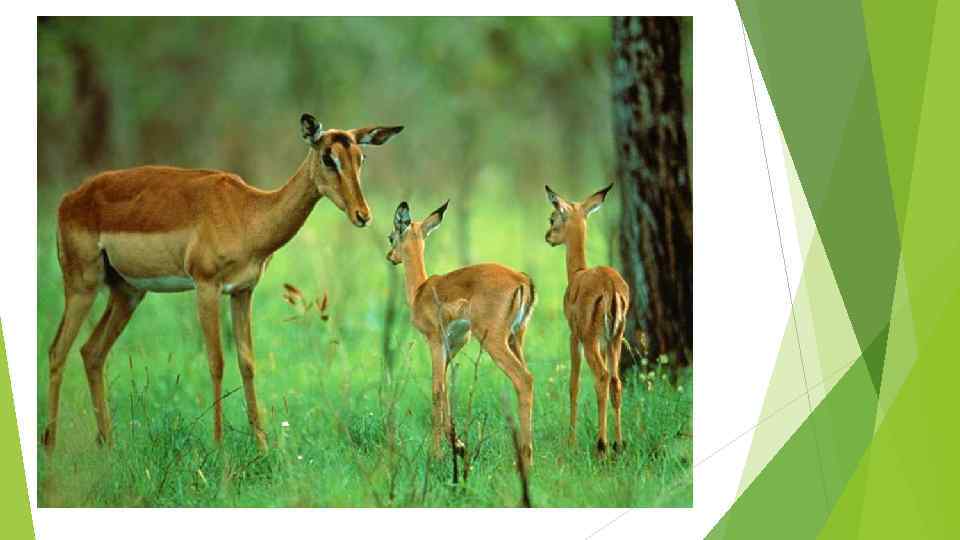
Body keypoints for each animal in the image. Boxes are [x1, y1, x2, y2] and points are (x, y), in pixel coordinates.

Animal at [43, 113, 403, 453]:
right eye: (329, 158)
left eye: (361, 157)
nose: (362, 215)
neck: (248, 213)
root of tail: (68, 199)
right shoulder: (206, 287)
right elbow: (216, 361)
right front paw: (218, 445)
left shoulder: (242, 292)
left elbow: (247, 363)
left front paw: (262, 444)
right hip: (82, 285)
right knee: (57, 350)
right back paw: (50, 445)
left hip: (127, 292)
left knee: (91, 352)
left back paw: (108, 444)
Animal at [385, 200, 537, 468]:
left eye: (391, 236)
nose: (390, 256)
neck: (420, 290)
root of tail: (521, 279)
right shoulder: (453, 346)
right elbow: (446, 391)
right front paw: (458, 446)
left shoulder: (435, 341)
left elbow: (436, 391)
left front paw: (436, 455)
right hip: (516, 338)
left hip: (494, 341)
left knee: (524, 379)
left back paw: (525, 461)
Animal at [544, 184, 630, 454]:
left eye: (553, 217)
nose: (548, 236)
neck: (577, 274)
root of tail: (611, 286)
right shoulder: (603, 342)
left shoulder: (574, 337)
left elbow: (574, 384)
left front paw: (571, 441)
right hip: (615, 340)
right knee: (616, 381)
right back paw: (618, 444)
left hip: (591, 341)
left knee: (601, 377)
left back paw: (602, 445)